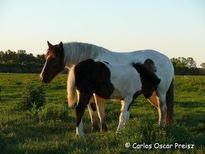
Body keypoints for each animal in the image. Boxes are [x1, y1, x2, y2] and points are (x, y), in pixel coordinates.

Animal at [40, 41, 175, 136]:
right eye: (46, 57)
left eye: (53, 58)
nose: (43, 77)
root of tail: (168, 60)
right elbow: (94, 111)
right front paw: (98, 130)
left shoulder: (95, 94)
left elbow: (99, 112)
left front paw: (102, 129)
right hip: (152, 94)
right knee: (160, 108)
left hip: (160, 92)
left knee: (163, 108)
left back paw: (160, 126)